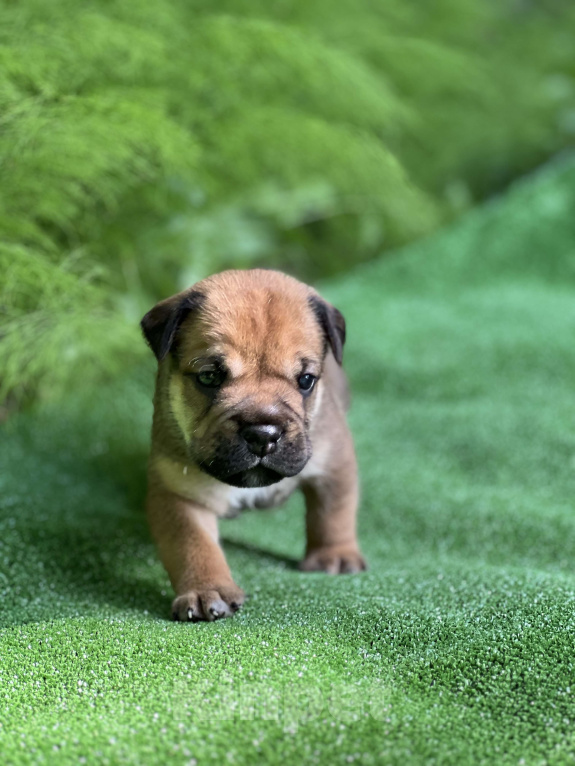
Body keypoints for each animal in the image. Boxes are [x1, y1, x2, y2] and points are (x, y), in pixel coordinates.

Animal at [141, 270, 364, 624]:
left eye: (306, 380)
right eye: (209, 377)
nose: (262, 433)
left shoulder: (334, 461)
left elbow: (333, 512)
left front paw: (335, 554)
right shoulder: (179, 491)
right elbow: (192, 544)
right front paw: (207, 590)